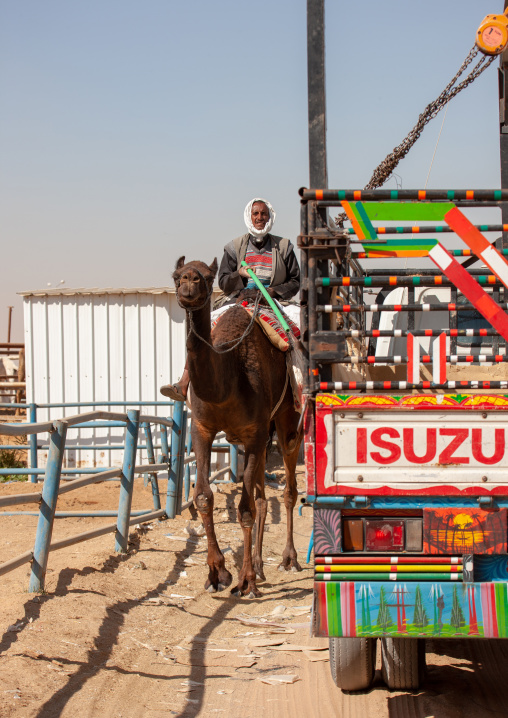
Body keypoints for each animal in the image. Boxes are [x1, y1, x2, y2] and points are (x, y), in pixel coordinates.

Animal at [173, 256, 303, 597]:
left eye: (207, 276)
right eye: (176, 275)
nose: (189, 282)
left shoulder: (255, 432)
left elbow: (245, 509)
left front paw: (245, 580)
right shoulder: (202, 428)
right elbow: (204, 497)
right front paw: (217, 572)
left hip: (286, 421)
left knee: (288, 490)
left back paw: (287, 559)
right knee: (261, 496)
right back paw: (258, 564)